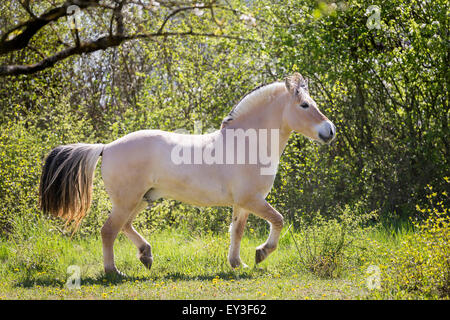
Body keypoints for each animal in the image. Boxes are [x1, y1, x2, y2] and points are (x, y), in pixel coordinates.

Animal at [37, 72, 334, 276]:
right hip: (128, 201)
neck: (248, 143)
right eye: (304, 105)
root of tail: (106, 147)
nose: (330, 131)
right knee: (109, 230)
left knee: (124, 226)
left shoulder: (242, 203)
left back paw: (146, 255)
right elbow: (279, 220)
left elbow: (236, 231)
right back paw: (114, 271)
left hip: (142, 199)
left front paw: (237, 263)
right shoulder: (253, 200)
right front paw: (261, 253)